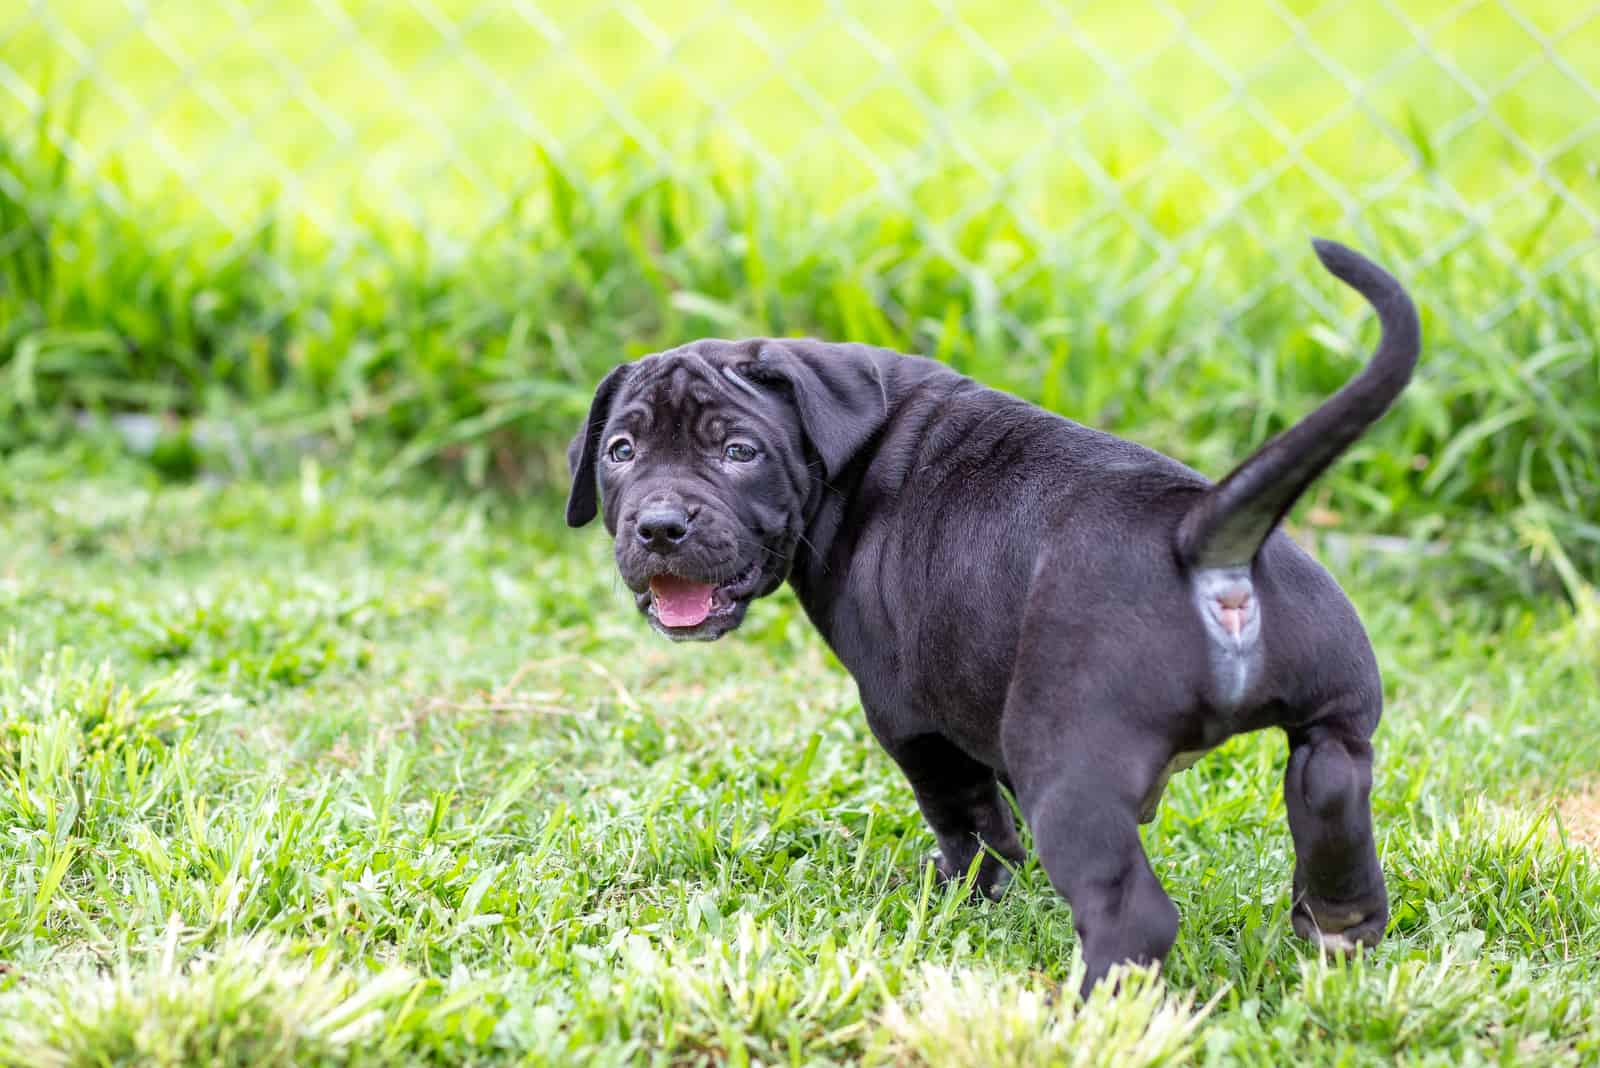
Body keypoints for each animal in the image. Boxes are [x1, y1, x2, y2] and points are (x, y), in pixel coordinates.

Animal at [569, 238, 1420, 997]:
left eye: (739, 452)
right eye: (619, 451)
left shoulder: (908, 718)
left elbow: (967, 816)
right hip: (1334, 729)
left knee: (1131, 916)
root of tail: (1201, 535)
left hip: (1071, 770)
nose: (659, 527)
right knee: (1334, 808)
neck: (848, 455)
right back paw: (1335, 937)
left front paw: (964, 888)